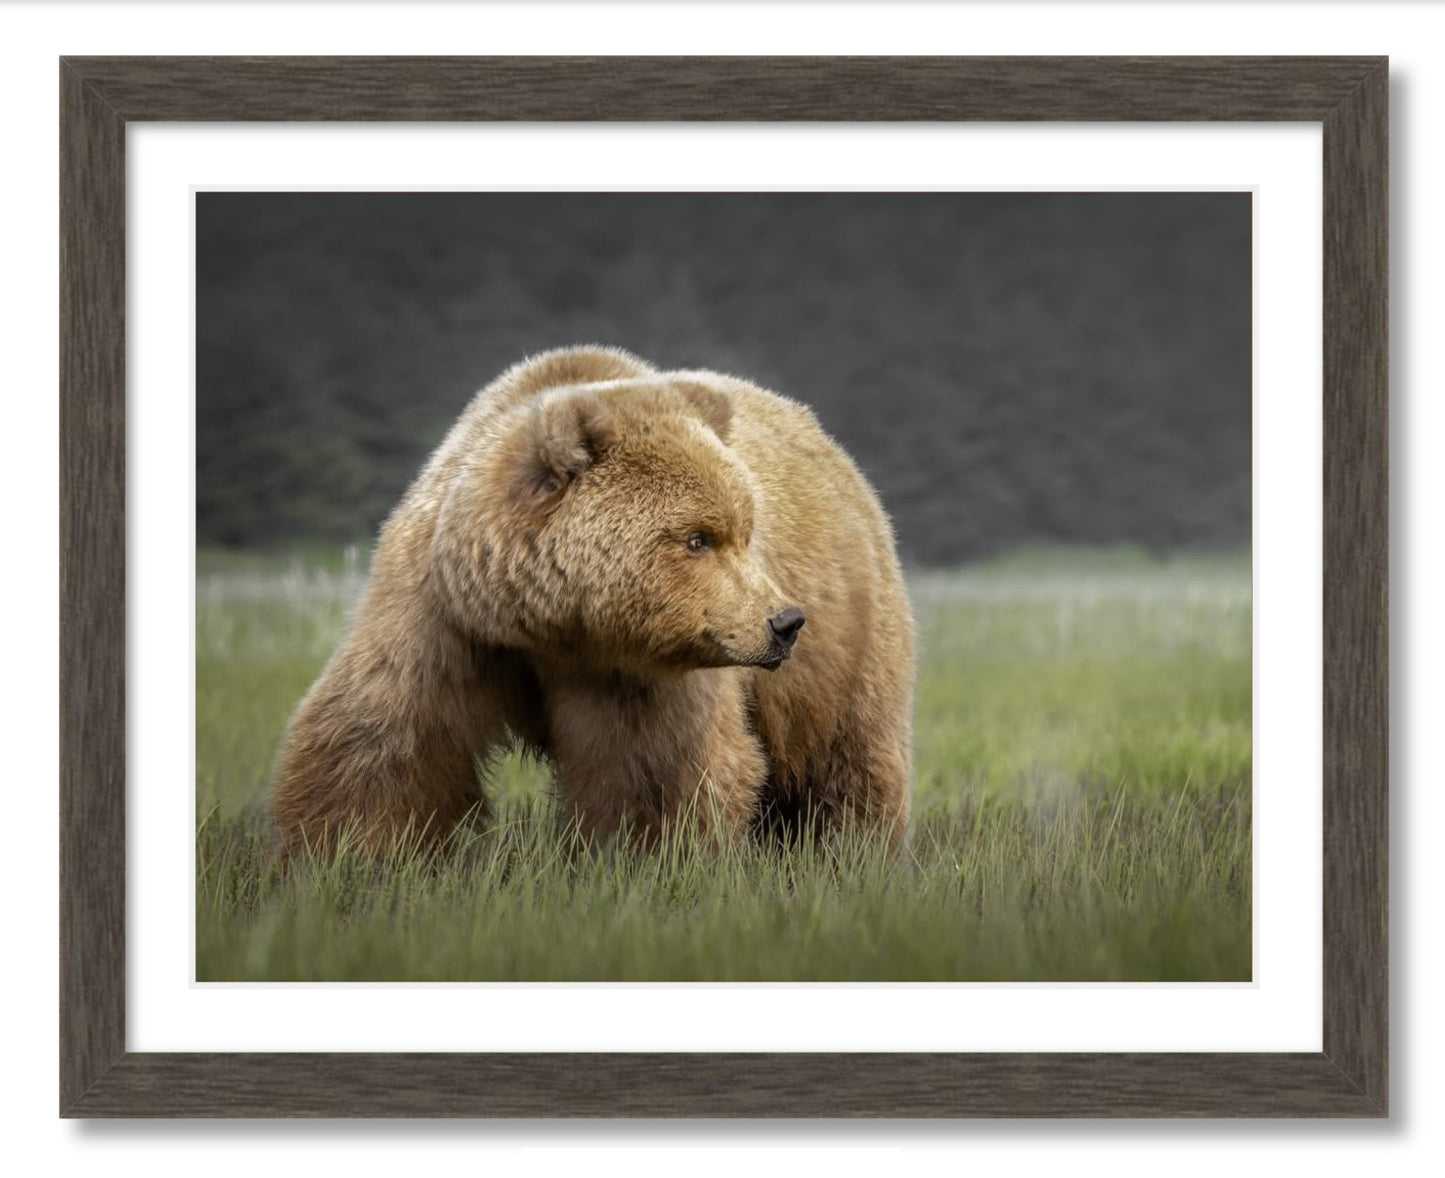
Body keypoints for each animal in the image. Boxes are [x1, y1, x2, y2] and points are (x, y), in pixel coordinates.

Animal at [270, 346, 915, 857]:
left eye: (744, 532)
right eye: (697, 538)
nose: (784, 621)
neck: (548, 624)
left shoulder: (636, 672)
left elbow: (655, 771)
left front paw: (647, 861)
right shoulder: (444, 617)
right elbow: (382, 741)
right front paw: (343, 858)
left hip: (850, 640)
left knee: (849, 758)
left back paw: (852, 853)